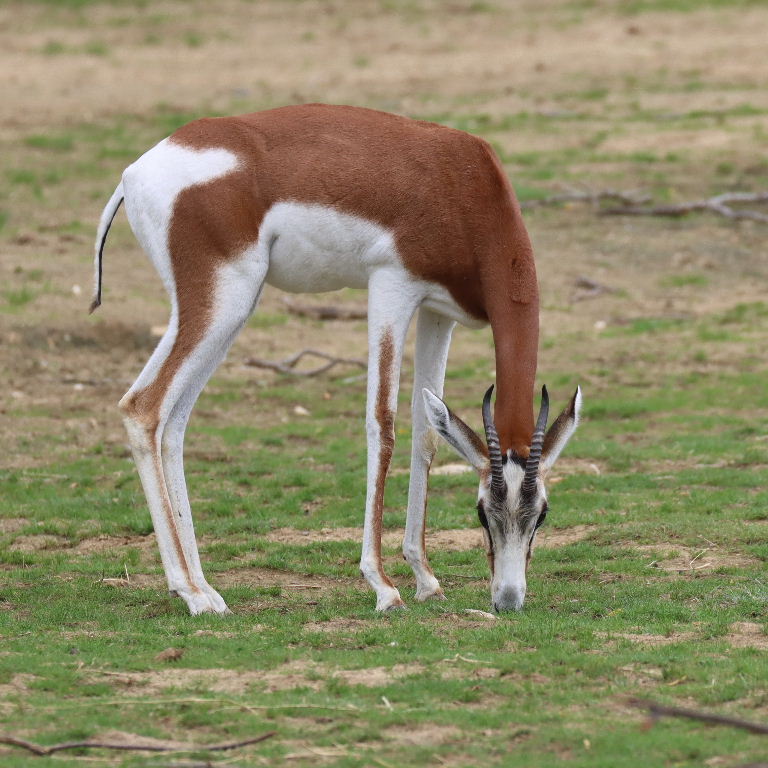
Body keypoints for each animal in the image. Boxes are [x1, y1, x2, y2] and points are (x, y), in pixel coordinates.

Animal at [91, 104, 581, 615]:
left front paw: (426, 578)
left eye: (542, 514)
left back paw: (205, 589)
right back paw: (189, 593)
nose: (508, 599)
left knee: (174, 421)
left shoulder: (437, 311)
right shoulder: (392, 285)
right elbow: (382, 425)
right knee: (143, 406)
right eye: (483, 511)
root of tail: (136, 172)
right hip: (224, 301)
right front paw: (384, 586)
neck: (461, 184)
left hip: (220, 311)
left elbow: (427, 433)